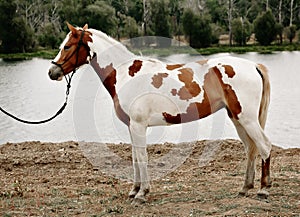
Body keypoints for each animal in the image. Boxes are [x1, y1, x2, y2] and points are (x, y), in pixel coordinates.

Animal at [48, 22, 272, 203]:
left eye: (67, 46)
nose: (52, 72)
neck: (126, 75)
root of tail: (254, 65)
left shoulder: (138, 125)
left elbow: (142, 157)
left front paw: (142, 193)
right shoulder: (131, 127)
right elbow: (135, 158)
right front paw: (134, 190)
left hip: (247, 119)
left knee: (264, 146)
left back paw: (263, 190)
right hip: (237, 118)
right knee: (250, 149)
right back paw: (245, 188)